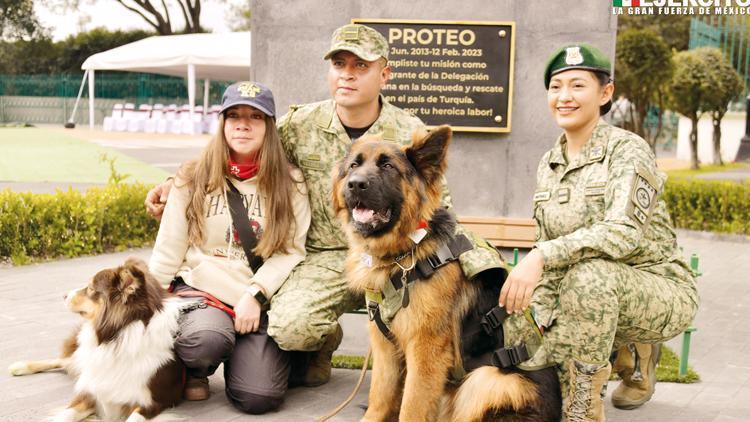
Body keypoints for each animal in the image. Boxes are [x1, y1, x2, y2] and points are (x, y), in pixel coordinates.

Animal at [9, 258, 187, 422]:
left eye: (90, 288)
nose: (64, 295)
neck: (119, 338)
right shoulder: (90, 391)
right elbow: (65, 416)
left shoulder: (155, 401)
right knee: (63, 360)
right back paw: (20, 367)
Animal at [332, 126, 560, 422]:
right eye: (354, 166)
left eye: (388, 166)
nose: (356, 184)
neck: (407, 250)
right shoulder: (385, 349)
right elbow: (379, 399)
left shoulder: (426, 350)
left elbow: (411, 408)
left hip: (488, 380)